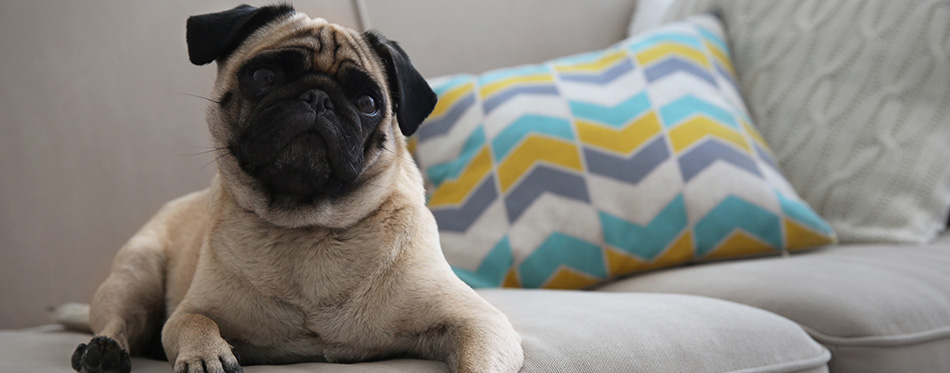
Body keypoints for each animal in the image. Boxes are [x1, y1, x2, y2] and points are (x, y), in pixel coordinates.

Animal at [70, 5, 524, 372]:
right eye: (264, 76)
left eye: (368, 103)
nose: (318, 97)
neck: (307, 230)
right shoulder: (187, 313)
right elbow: (195, 320)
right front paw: (205, 354)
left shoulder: (478, 323)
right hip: (137, 273)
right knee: (118, 320)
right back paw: (103, 352)